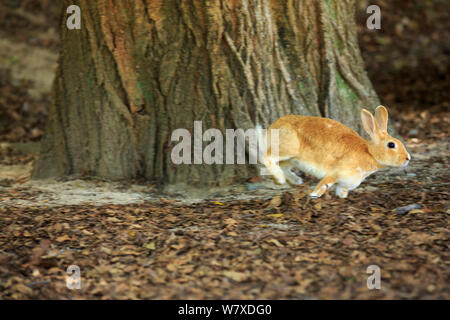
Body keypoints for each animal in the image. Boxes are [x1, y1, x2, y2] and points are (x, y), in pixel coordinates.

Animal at [258, 105, 410, 198]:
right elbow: (324, 184)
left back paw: (295, 180)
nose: (408, 158)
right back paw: (280, 179)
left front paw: (341, 197)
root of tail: (273, 126)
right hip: (288, 148)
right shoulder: (335, 173)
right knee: (266, 158)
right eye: (391, 145)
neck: (369, 153)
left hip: (292, 159)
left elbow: (341, 191)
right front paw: (314, 195)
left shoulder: (344, 183)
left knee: (282, 165)